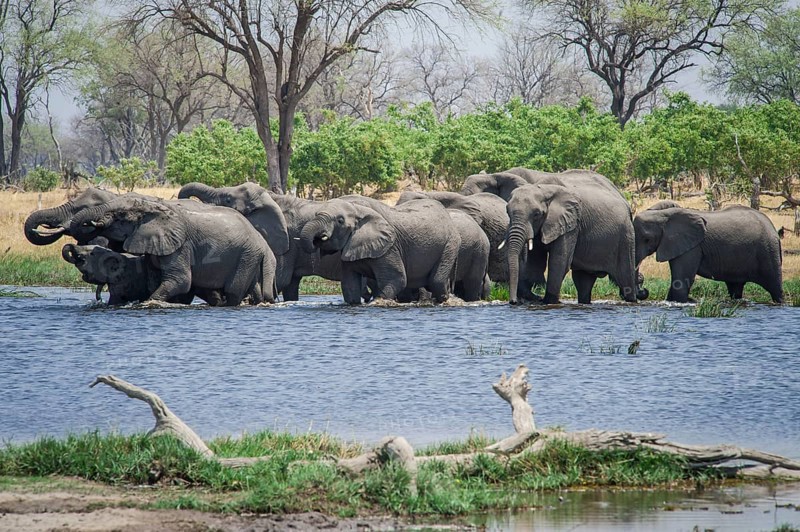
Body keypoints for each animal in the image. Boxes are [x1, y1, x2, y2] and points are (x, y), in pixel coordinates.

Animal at [300, 196, 460, 304]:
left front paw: (374, 302)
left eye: (340, 220)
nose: (318, 238)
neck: (358, 209)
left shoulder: (390, 246)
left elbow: (396, 279)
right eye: (315, 214)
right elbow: (349, 284)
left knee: (436, 281)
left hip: (450, 244)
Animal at [633, 203, 783, 303]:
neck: (664, 215)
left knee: (775, 286)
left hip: (768, 251)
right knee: (735, 287)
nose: (643, 287)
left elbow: (681, 282)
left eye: (647, 239)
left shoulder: (693, 246)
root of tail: (774, 230)